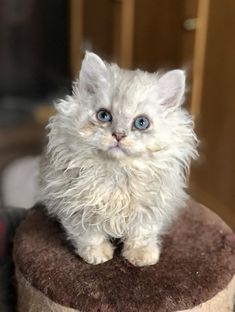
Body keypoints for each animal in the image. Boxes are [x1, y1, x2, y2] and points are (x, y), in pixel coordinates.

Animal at [39, 51, 198, 266]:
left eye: (141, 122)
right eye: (104, 116)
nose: (118, 135)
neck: (118, 173)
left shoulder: (151, 207)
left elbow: (142, 233)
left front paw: (141, 255)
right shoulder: (75, 205)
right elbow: (88, 234)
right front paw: (96, 254)